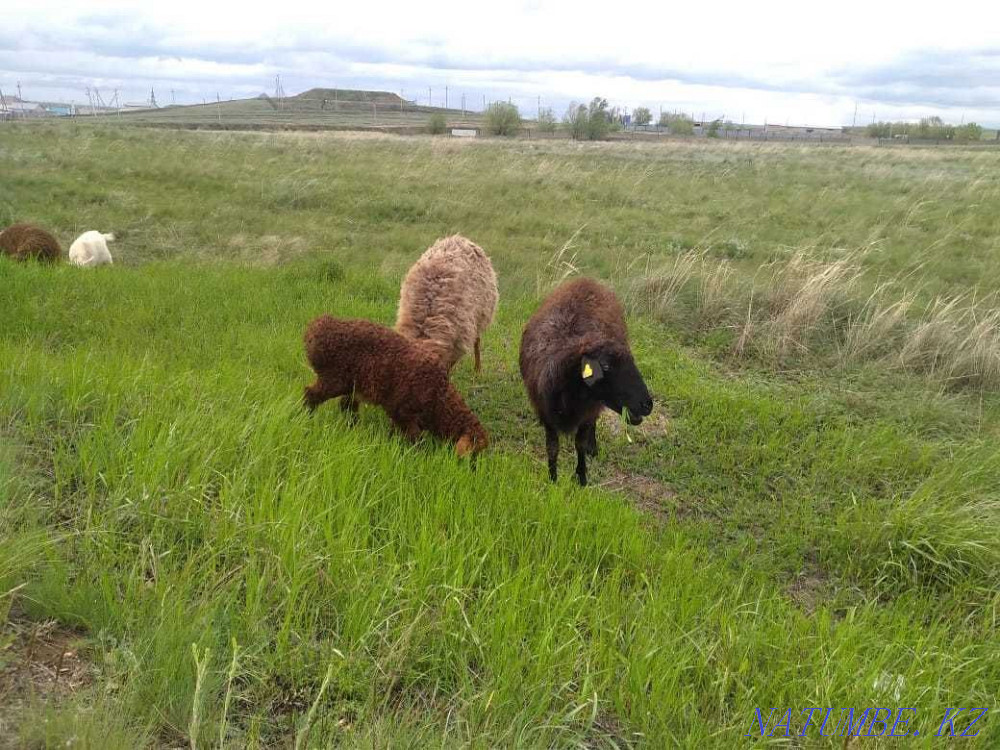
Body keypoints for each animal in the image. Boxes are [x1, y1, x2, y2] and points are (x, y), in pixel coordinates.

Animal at [303, 316, 489, 457]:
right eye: (475, 453)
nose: (474, 470)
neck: (439, 398)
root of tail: (317, 329)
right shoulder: (402, 411)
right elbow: (414, 437)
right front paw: (419, 454)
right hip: (334, 379)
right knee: (311, 394)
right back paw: (307, 418)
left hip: (353, 384)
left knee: (346, 405)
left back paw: (354, 427)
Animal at [519, 278, 653, 485]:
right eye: (605, 366)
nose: (648, 404)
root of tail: (587, 279)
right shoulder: (545, 412)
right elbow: (552, 447)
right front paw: (553, 479)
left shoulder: (588, 411)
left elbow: (579, 444)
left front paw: (582, 479)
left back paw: (593, 448)